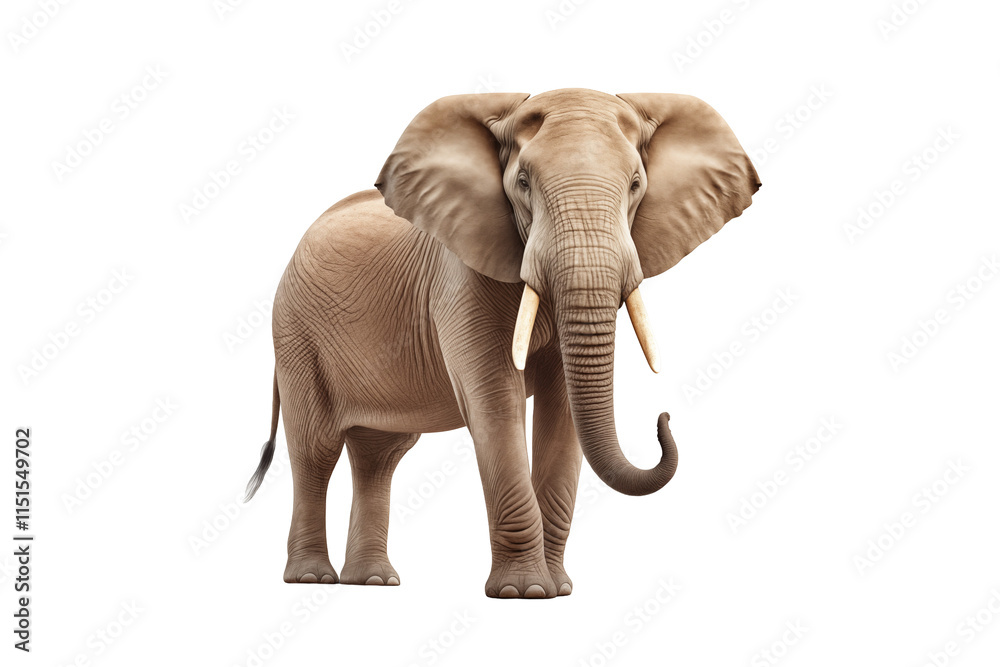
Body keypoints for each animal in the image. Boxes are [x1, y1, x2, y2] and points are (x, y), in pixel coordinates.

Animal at [244, 88, 760, 599]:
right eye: (524, 183)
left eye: (636, 184)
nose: (663, 418)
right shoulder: (458, 277)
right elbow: (494, 401)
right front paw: (522, 592)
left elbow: (563, 407)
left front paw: (558, 590)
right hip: (295, 333)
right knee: (315, 450)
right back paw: (312, 578)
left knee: (378, 458)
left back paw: (374, 581)